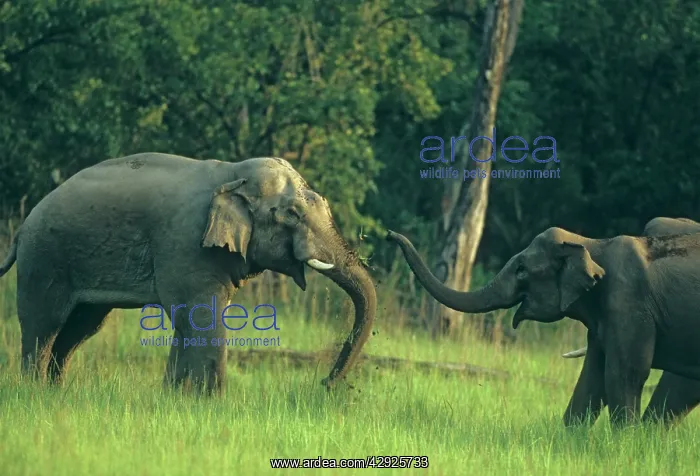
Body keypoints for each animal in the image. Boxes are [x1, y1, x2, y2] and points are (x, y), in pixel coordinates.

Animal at [0, 152, 376, 393]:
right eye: (293, 214)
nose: (326, 383)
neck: (231, 173)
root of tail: (22, 229)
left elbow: (188, 320)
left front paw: (175, 396)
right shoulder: (186, 245)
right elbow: (201, 316)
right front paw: (210, 402)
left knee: (79, 328)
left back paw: (54, 393)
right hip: (44, 261)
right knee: (44, 324)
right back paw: (33, 392)